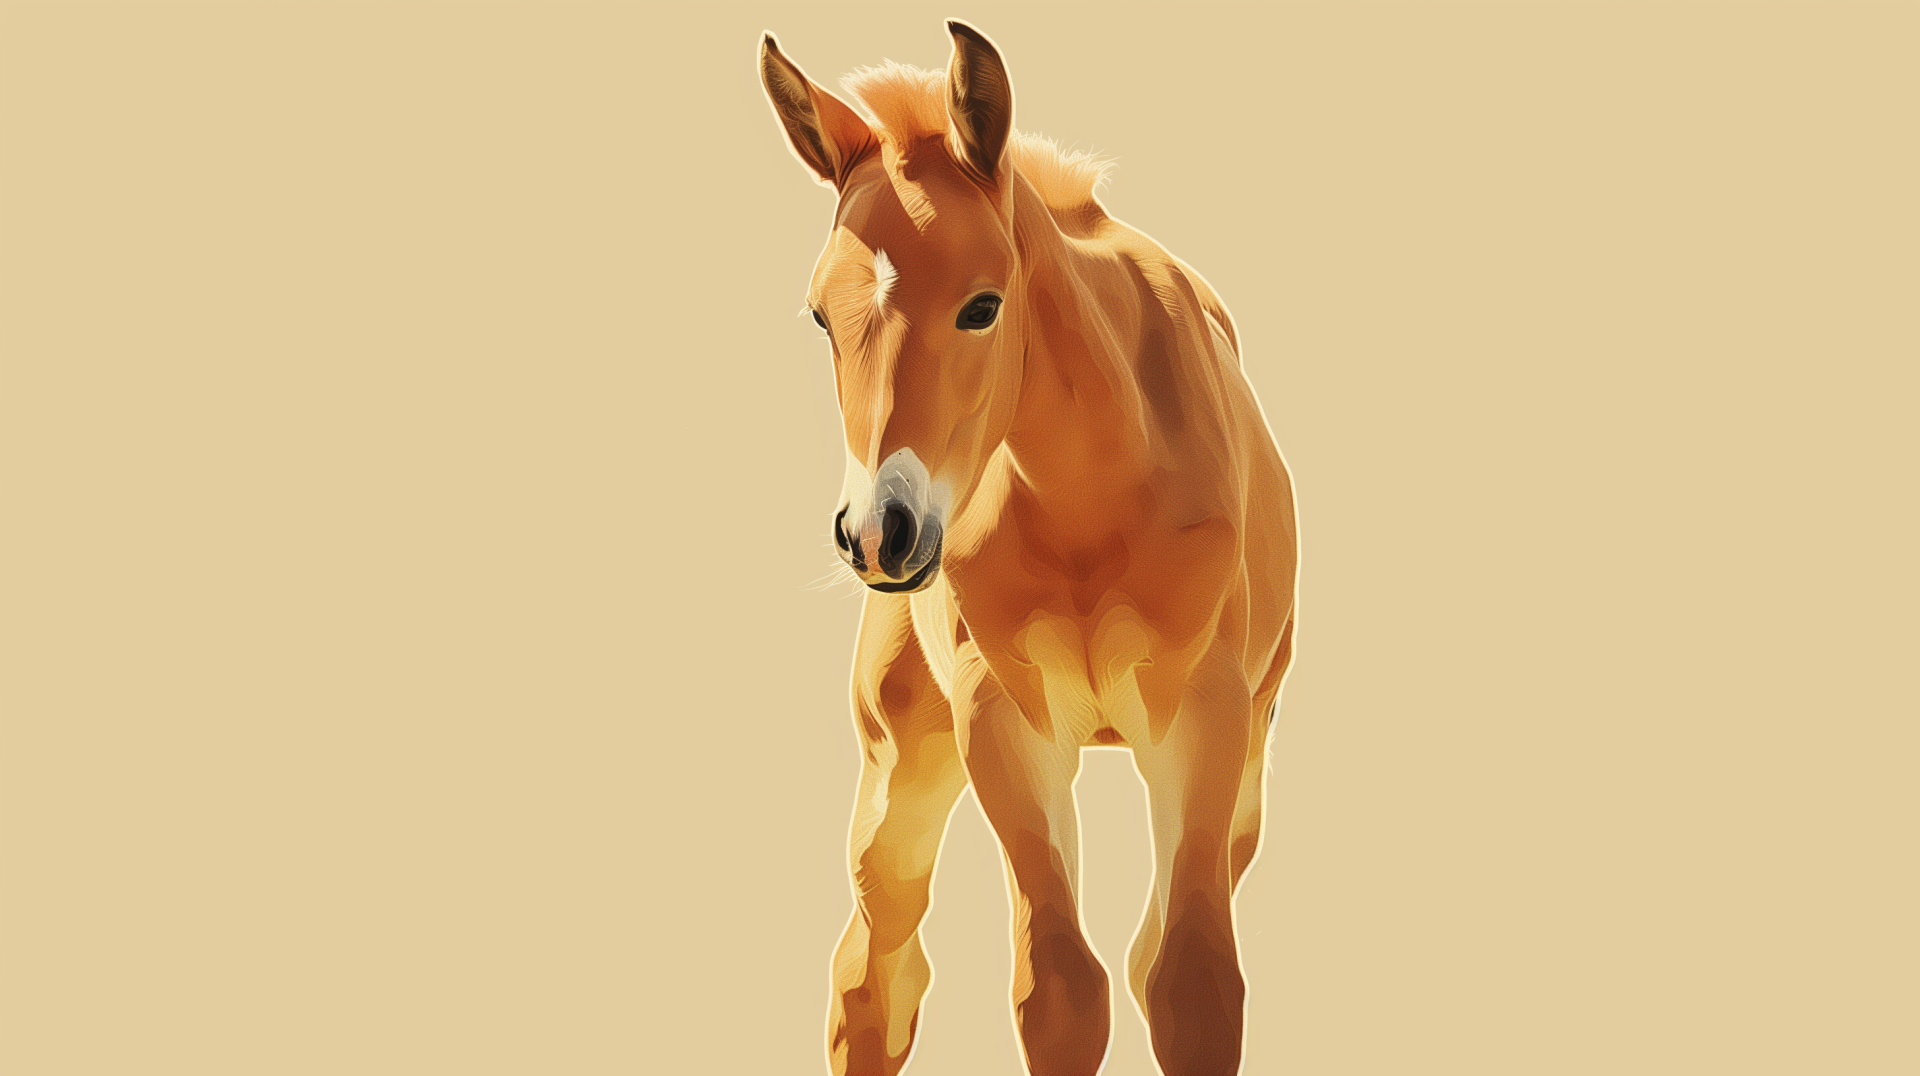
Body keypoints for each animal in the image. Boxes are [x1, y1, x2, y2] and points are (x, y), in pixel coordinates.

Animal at [759, 21, 1298, 1076]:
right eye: (819, 314)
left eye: (983, 305)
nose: (877, 532)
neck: (1092, 503)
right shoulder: (1004, 723)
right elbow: (1058, 990)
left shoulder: (1205, 722)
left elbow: (1189, 983)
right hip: (903, 760)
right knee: (875, 968)